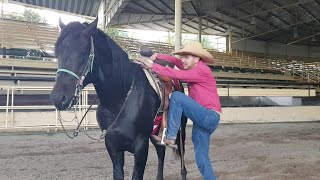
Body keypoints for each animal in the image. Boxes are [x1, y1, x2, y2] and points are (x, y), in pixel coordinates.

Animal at [50, 17, 188, 179]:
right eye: (57, 52)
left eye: (83, 52)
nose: (58, 98)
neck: (119, 100)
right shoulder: (112, 145)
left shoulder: (141, 147)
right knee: (161, 150)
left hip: (180, 129)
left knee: (181, 153)